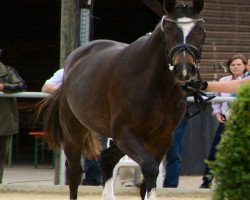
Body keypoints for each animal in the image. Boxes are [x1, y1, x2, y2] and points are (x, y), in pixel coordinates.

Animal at [38, 0, 205, 199]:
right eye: (168, 30)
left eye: (200, 31)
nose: (184, 70)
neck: (156, 86)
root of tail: (72, 61)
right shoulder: (125, 133)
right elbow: (150, 169)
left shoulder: (162, 138)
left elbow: (146, 181)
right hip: (75, 132)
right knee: (75, 173)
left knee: (106, 159)